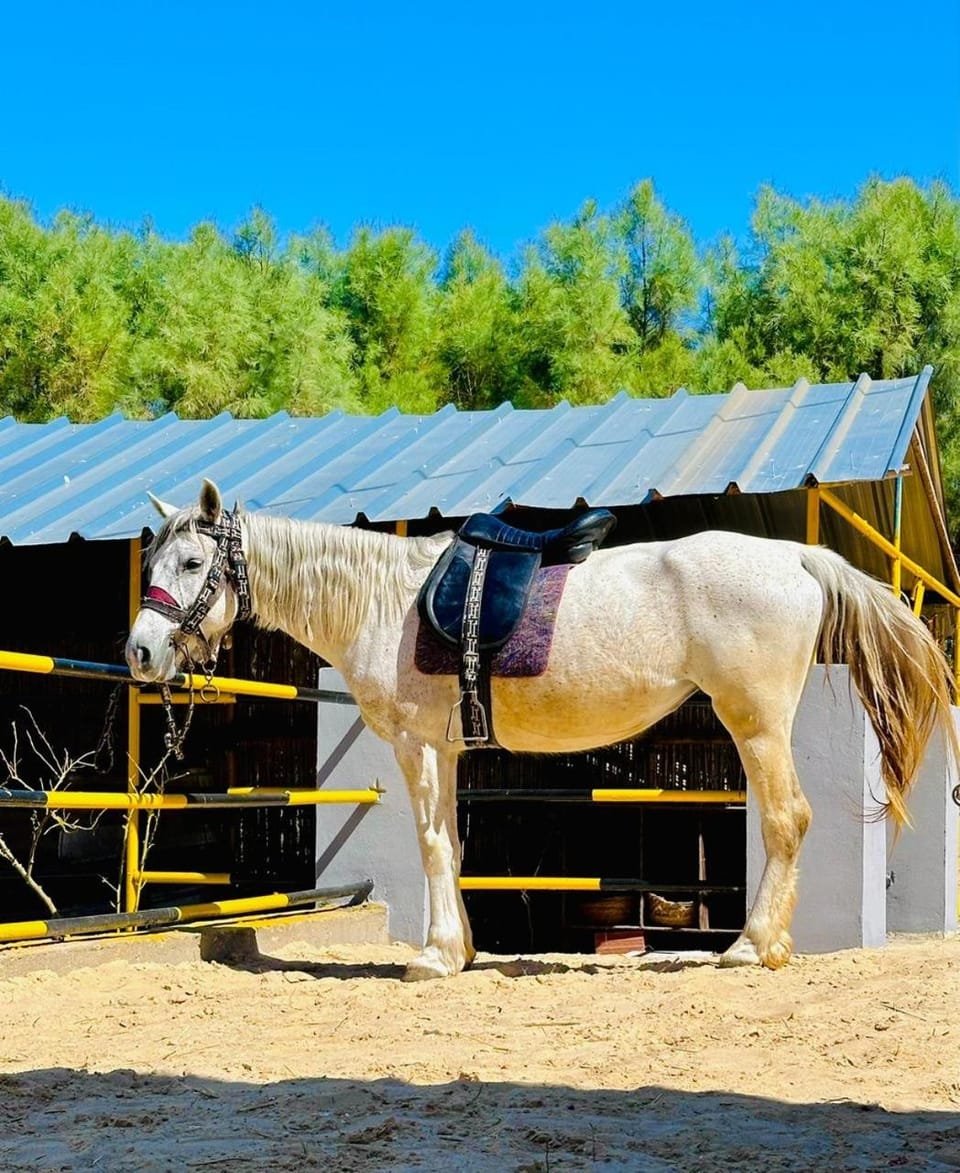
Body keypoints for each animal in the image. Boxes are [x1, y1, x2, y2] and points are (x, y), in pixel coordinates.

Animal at [125, 479, 957, 980]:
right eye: (152, 561)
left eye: (194, 561)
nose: (138, 651)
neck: (382, 598)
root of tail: (798, 557)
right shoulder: (449, 749)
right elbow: (453, 845)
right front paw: (458, 948)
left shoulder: (418, 745)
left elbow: (431, 845)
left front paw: (433, 956)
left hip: (754, 723)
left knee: (788, 819)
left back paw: (753, 946)